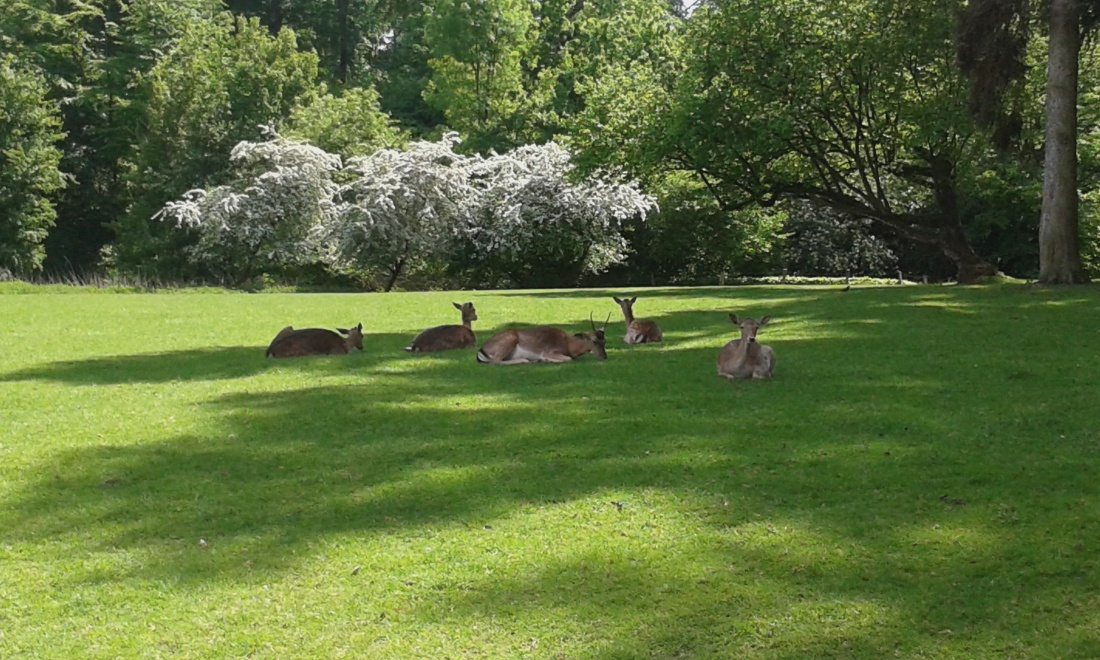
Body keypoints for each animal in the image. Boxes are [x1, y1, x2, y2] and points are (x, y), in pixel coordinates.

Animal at [477, 314, 609, 365]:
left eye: (604, 341)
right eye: (594, 341)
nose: (604, 356)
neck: (569, 345)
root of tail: (481, 351)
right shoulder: (550, 351)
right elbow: (569, 359)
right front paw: (546, 359)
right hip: (509, 339)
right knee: (496, 361)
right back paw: (525, 360)